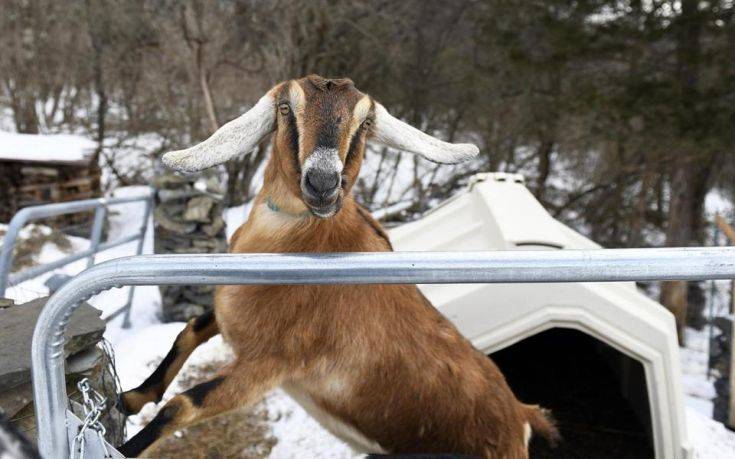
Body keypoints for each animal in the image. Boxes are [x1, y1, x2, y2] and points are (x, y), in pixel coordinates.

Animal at [119, 73, 556, 458]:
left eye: (364, 122)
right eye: (285, 107)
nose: (323, 183)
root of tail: (522, 418)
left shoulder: (267, 366)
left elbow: (181, 406)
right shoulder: (231, 317)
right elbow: (190, 330)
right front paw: (130, 398)